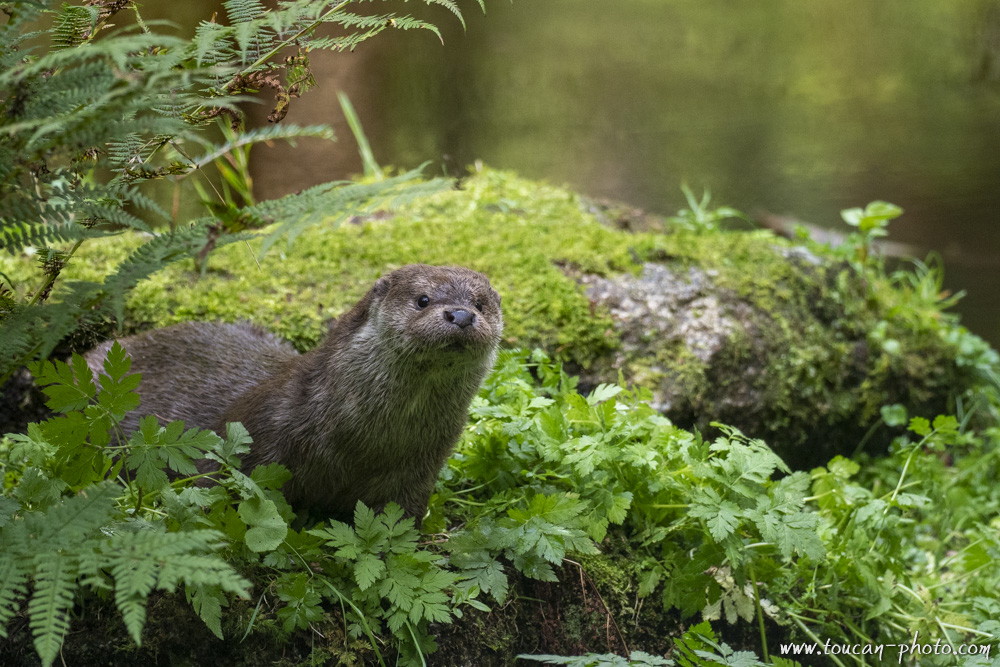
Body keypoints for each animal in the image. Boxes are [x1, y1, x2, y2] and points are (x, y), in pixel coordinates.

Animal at [85, 264, 504, 520]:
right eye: (423, 300)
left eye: (480, 304)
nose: (461, 315)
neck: (368, 442)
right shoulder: (263, 430)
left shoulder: (420, 470)